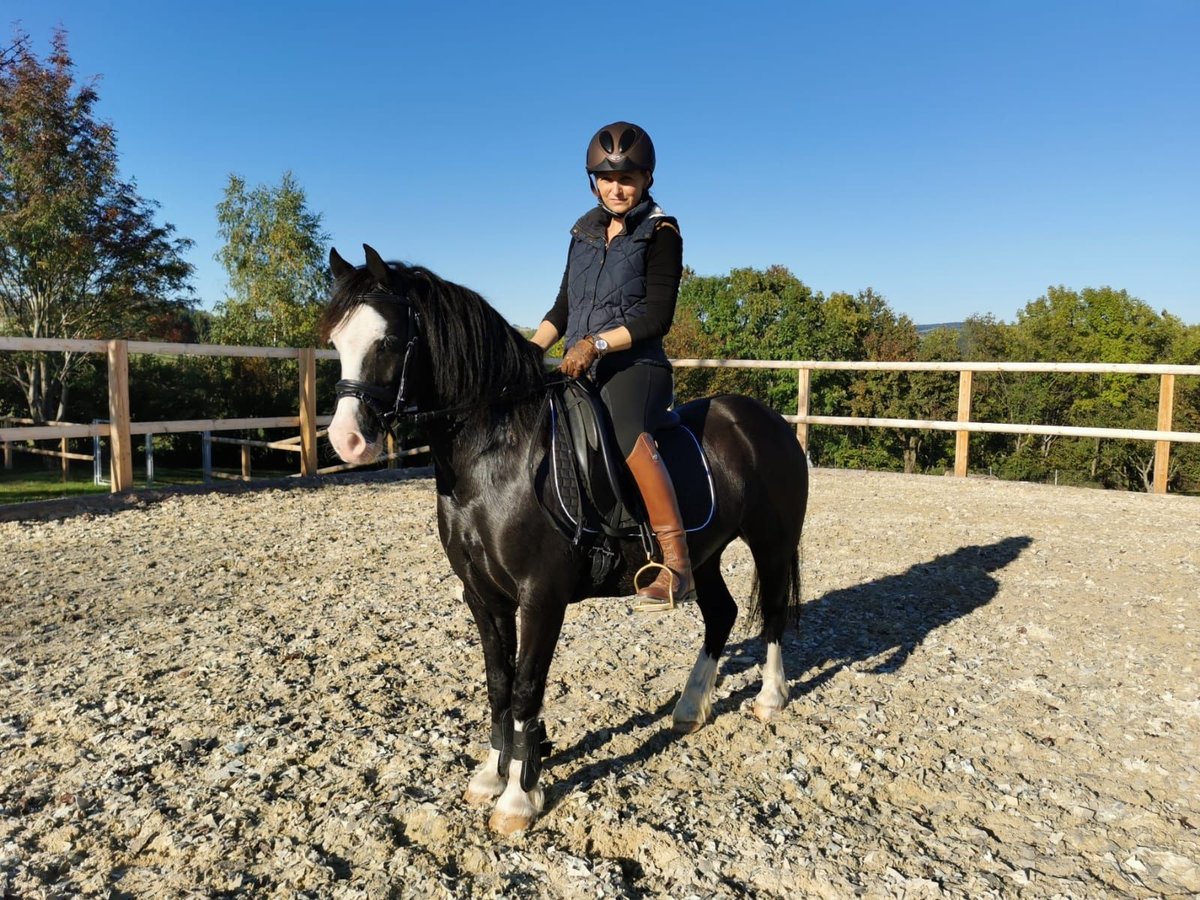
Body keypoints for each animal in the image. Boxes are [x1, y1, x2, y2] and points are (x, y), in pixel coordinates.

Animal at [321, 248, 806, 840]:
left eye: (388, 341)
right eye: (336, 341)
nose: (346, 441)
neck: (494, 455)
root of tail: (764, 419)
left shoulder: (542, 597)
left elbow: (527, 687)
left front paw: (518, 797)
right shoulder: (483, 596)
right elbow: (499, 683)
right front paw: (491, 774)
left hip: (772, 543)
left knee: (774, 612)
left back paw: (770, 699)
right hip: (705, 554)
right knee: (722, 613)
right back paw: (691, 708)